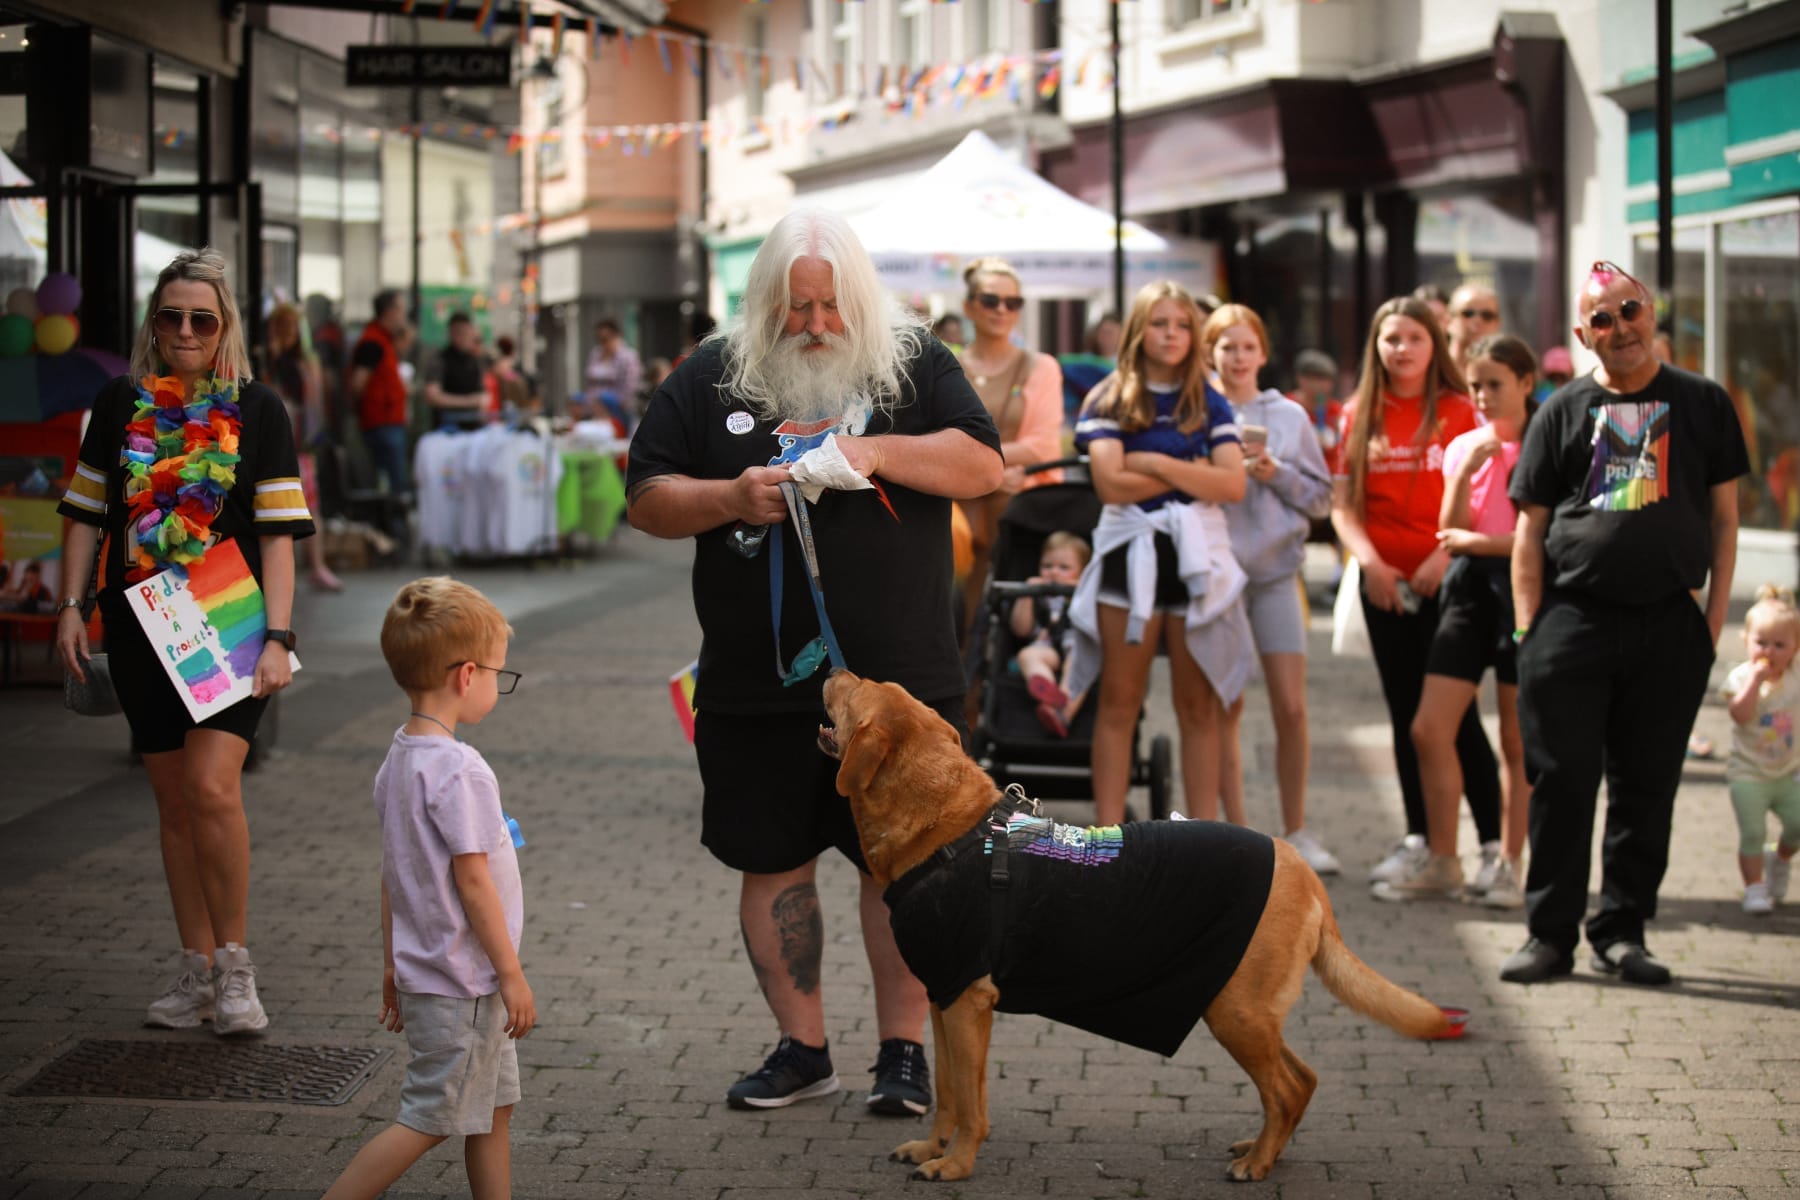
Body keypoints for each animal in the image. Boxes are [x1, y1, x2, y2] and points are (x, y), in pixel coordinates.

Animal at [820, 672, 1461, 1187]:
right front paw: (933, 1148)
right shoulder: (944, 995)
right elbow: (950, 1094)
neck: (948, 830)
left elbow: (972, 1105)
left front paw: (955, 1164)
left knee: (1286, 1088)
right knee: (1301, 1080)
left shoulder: (969, 1003)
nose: (831, 668)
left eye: (855, 690)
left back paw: (1256, 1164)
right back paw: (1264, 1149)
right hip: (1251, 1012)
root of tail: (1301, 869)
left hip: (1236, 1011)